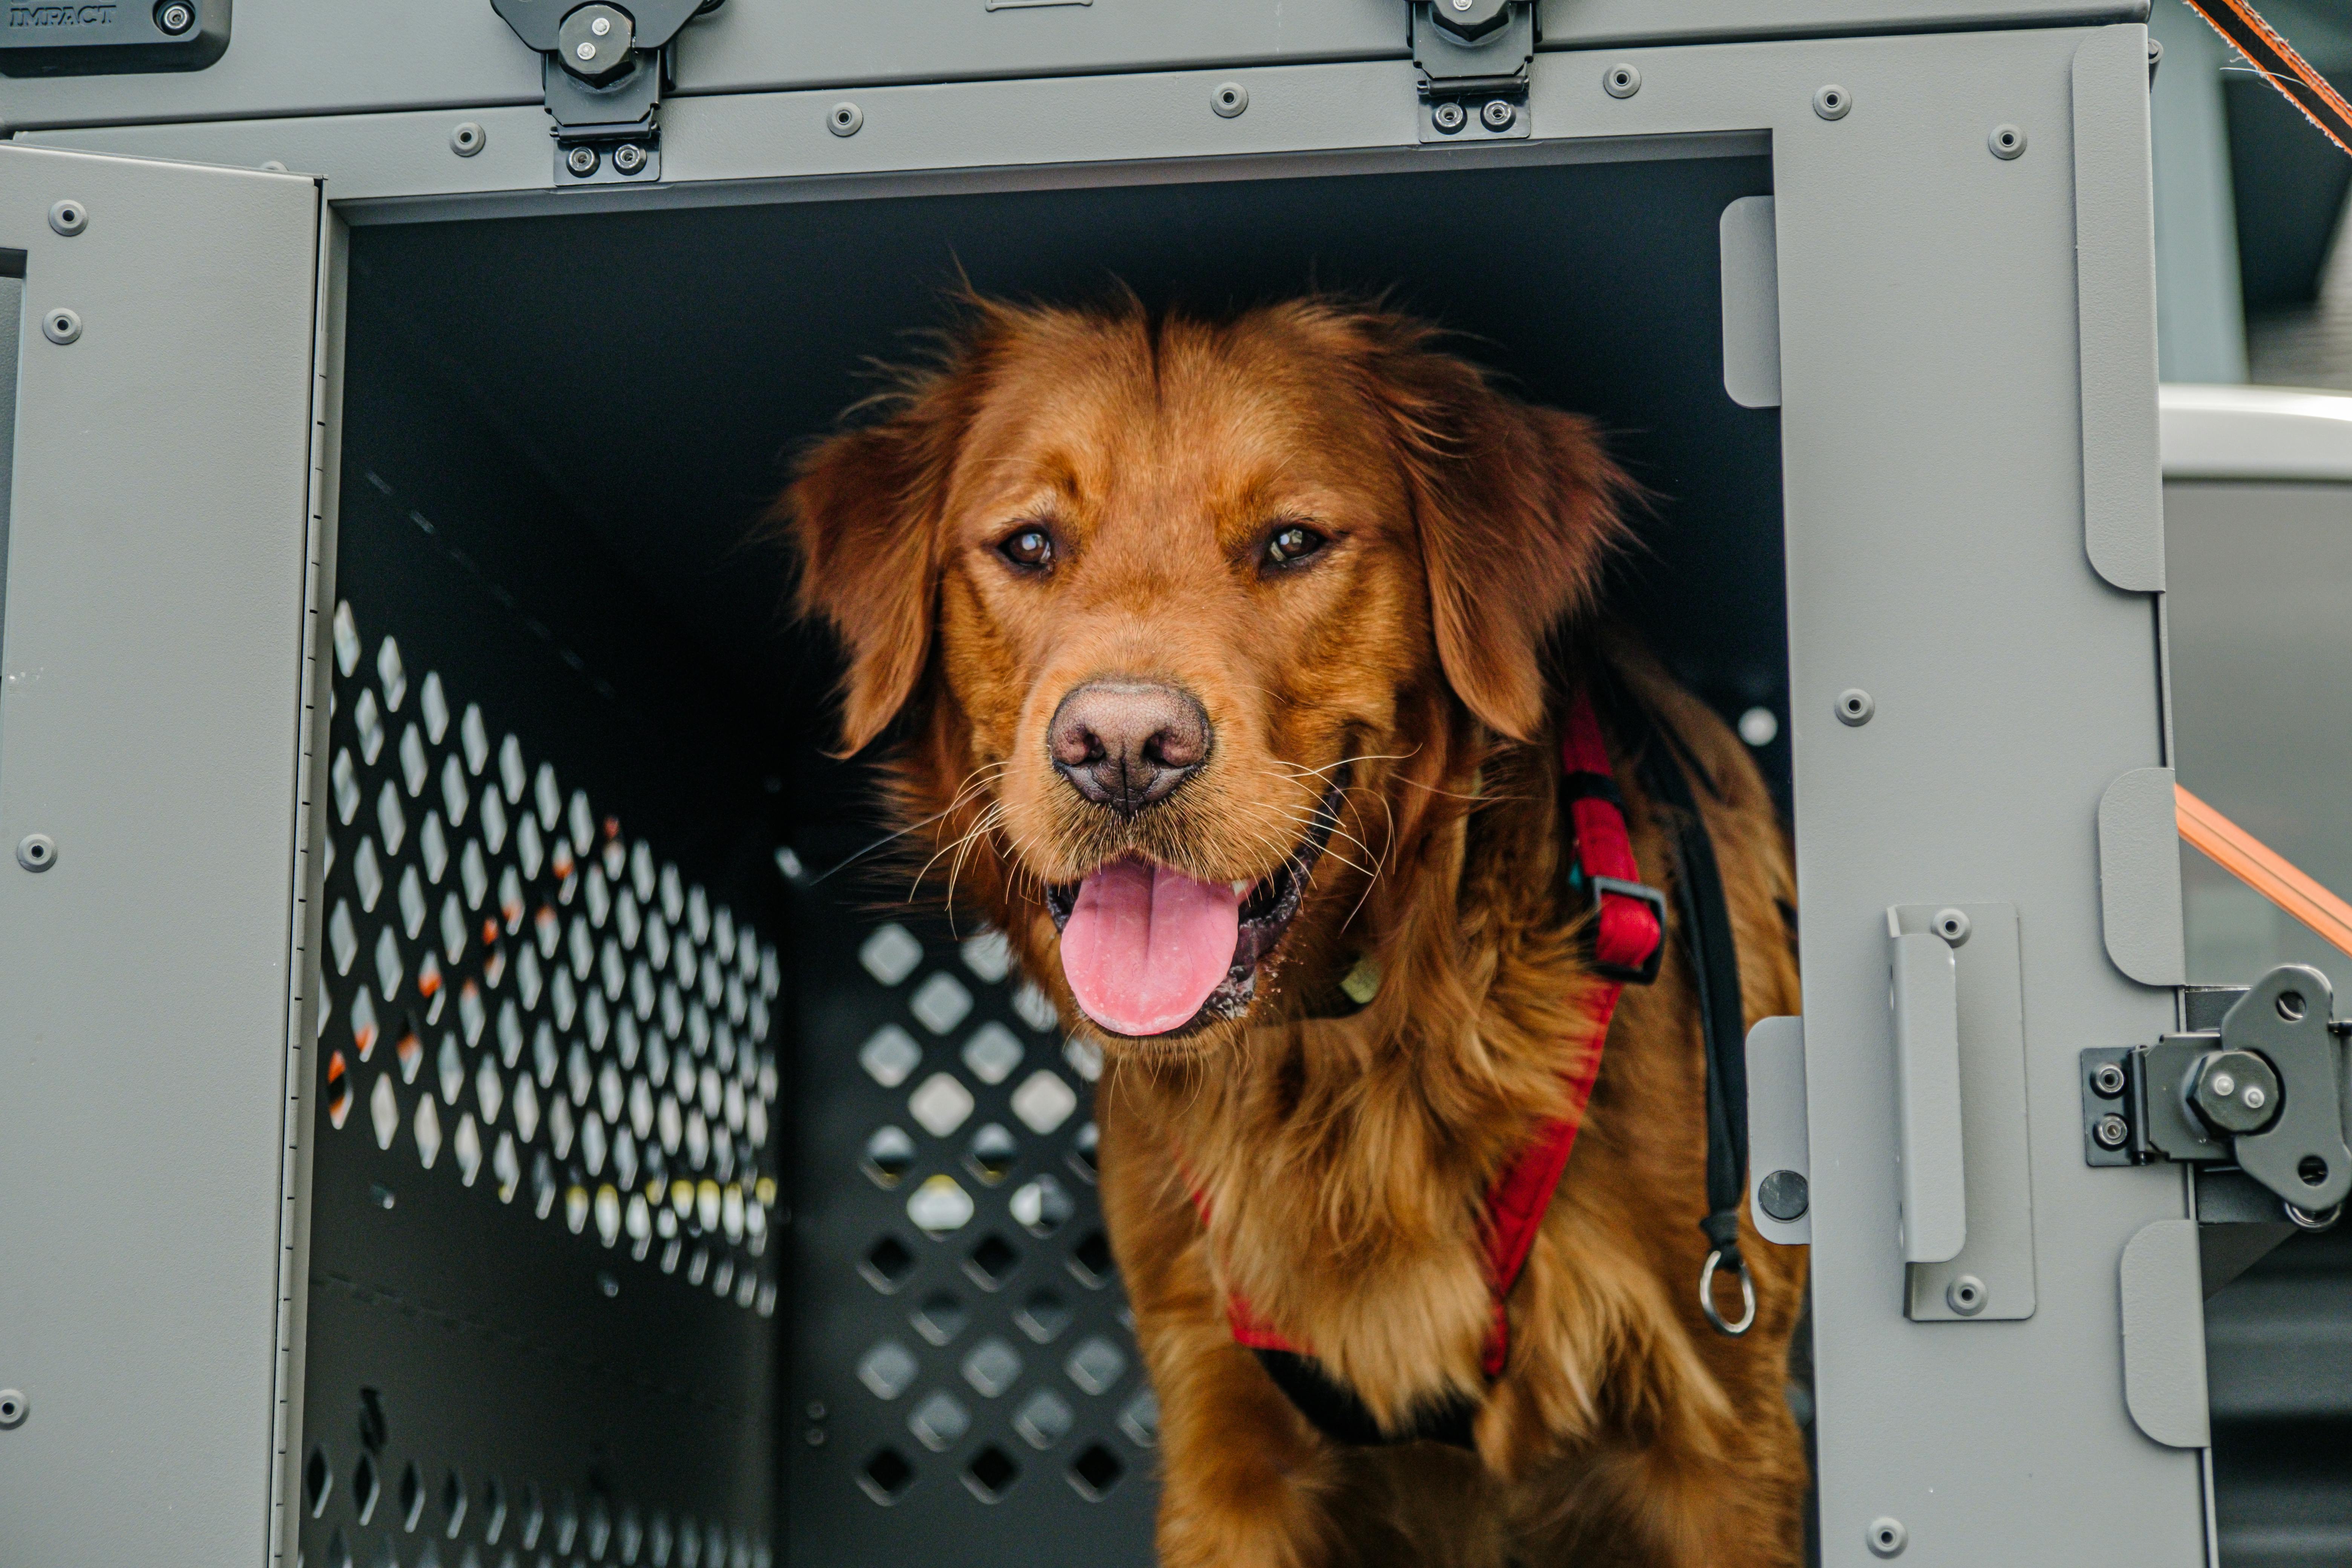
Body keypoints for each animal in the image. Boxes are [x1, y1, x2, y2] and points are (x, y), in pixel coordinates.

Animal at [786, 297, 1797, 1568]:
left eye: (1291, 543)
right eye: (1027, 547)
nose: (1123, 747)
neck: (1338, 1054)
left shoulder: (1722, 1435)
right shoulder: (1225, 1451)